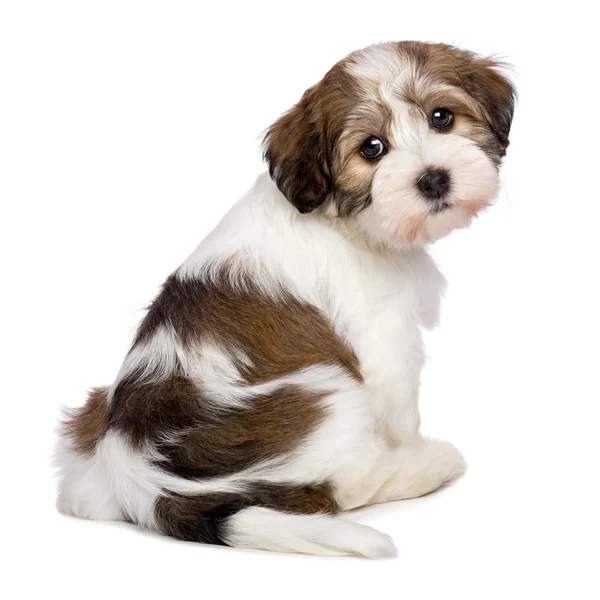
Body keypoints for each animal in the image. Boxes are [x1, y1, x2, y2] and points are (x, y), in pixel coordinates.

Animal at [55, 41, 516, 556]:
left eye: (442, 117)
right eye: (371, 148)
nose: (433, 178)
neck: (343, 220)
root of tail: (143, 480)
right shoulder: (384, 345)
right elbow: (401, 413)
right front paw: (415, 450)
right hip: (328, 392)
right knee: (349, 484)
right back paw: (428, 466)